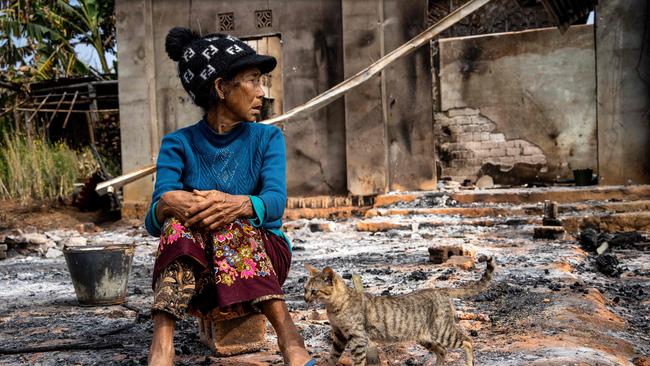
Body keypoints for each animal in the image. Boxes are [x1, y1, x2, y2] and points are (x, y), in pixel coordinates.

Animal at [302, 256, 492, 364]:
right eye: (304, 289)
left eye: (314, 291)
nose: (305, 299)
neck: (333, 307)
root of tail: (439, 289)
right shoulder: (339, 335)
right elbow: (332, 357)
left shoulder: (357, 338)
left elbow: (358, 361)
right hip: (425, 337)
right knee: (443, 351)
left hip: (443, 332)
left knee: (468, 341)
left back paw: (469, 363)